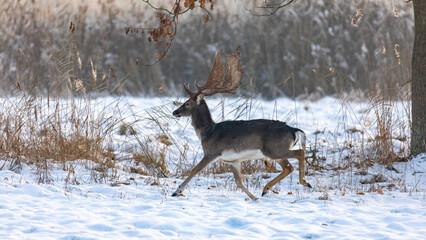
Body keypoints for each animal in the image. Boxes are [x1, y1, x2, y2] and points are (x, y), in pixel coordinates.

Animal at [171, 47, 312, 200]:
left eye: (187, 103)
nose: (175, 112)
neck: (208, 132)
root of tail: (293, 130)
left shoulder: (212, 152)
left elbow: (194, 170)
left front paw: (177, 191)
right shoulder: (234, 161)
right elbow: (239, 182)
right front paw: (254, 198)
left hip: (274, 149)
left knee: (300, 153)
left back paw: (304, 182)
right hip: (274, 151)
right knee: (288, 167)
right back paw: (266, 189)